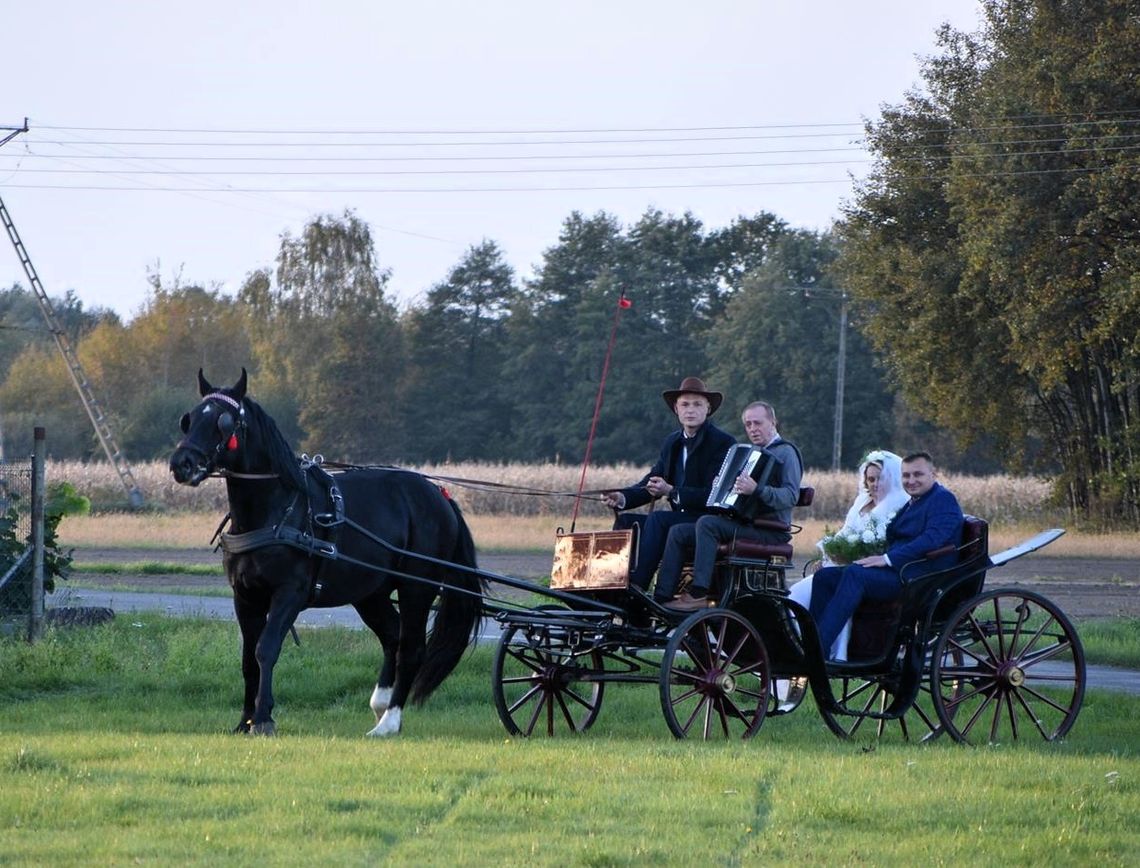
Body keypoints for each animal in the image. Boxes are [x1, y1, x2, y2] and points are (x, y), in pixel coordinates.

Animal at [168, 369, 481, 734]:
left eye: (224, 421)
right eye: (188, 419)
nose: (181, 464)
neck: (276, 510)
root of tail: (440, 495)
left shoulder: (289, 593)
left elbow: (266, 649)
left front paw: (263, 717)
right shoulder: (244, 596)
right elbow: (247, 659)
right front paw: (244, 720)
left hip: (416, 587)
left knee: (411, 647)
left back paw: (389, 721)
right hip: (370, 593)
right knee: (392, 636)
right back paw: (381, 704)